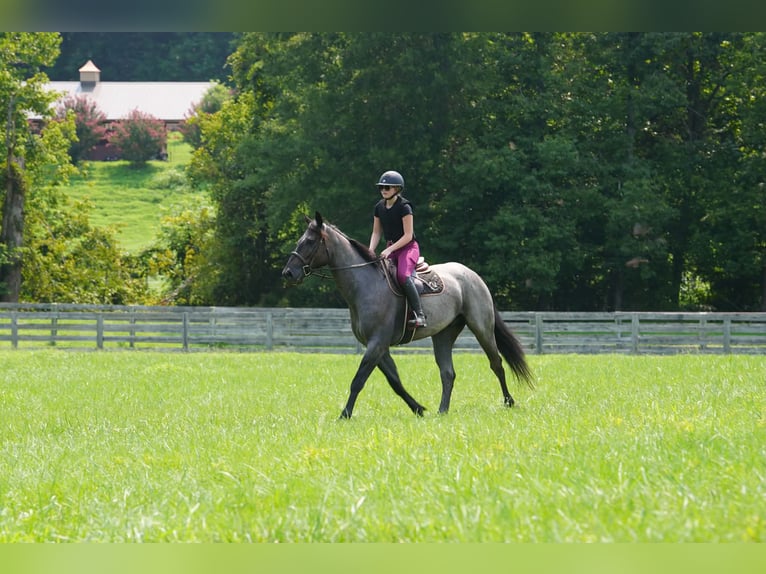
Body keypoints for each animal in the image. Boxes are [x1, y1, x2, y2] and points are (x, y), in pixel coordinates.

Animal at [281, 212, 533, 418]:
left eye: (310, 242)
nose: (288, 273)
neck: (365, 286)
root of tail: (471, 275)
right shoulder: (378, 347)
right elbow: (395, 381)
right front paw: (418, 408)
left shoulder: (377, 343)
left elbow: (358, 380)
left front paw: (345, 414)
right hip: (444, 334)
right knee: (448, 373)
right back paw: (442, 411)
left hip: (481, 328)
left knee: (496, 364)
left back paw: (509, 402)